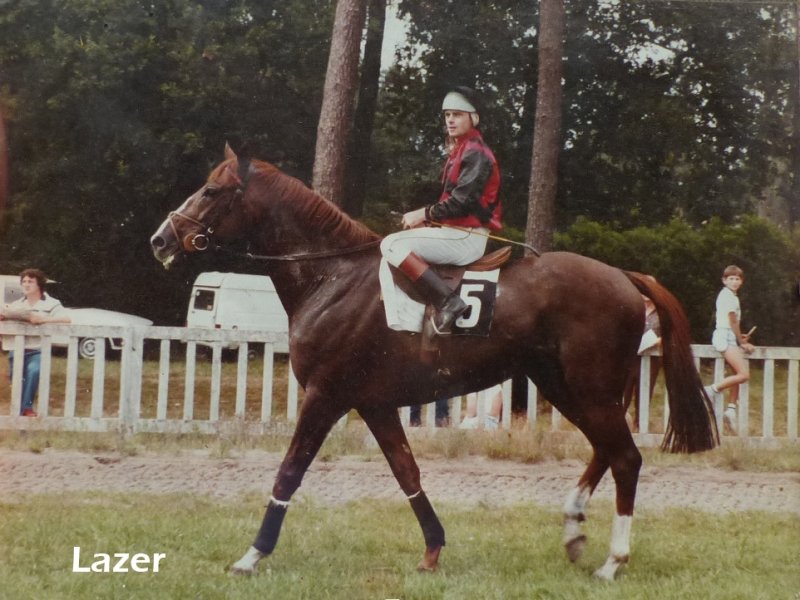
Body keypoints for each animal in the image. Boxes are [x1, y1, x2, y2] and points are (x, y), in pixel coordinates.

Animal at [150, 144, 718, 581]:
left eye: (211, 191)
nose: (161, 238)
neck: (332, 276)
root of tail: (624, 276)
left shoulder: (325, 396)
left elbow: (289, 472)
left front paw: (251, 555)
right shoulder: (374, 404)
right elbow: (407, 472)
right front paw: (432, 550)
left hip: (589, 389)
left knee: (625, 458)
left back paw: (612, 561)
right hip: (568, 387)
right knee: (606, 451)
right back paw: (574, 530)